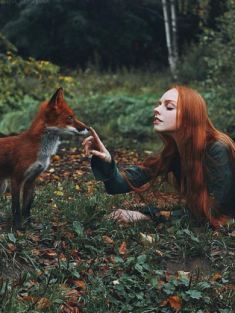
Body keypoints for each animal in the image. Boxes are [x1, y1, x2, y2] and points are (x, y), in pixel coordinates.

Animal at [0, 86, 89, 228]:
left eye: (73, 116)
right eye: (70, 117)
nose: (88, 128)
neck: (40, 151)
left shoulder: (31, 179)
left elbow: (27, 208)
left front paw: (29, 226)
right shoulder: (16, 179)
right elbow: (16, 207)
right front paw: (18, 228)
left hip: (2, 186)